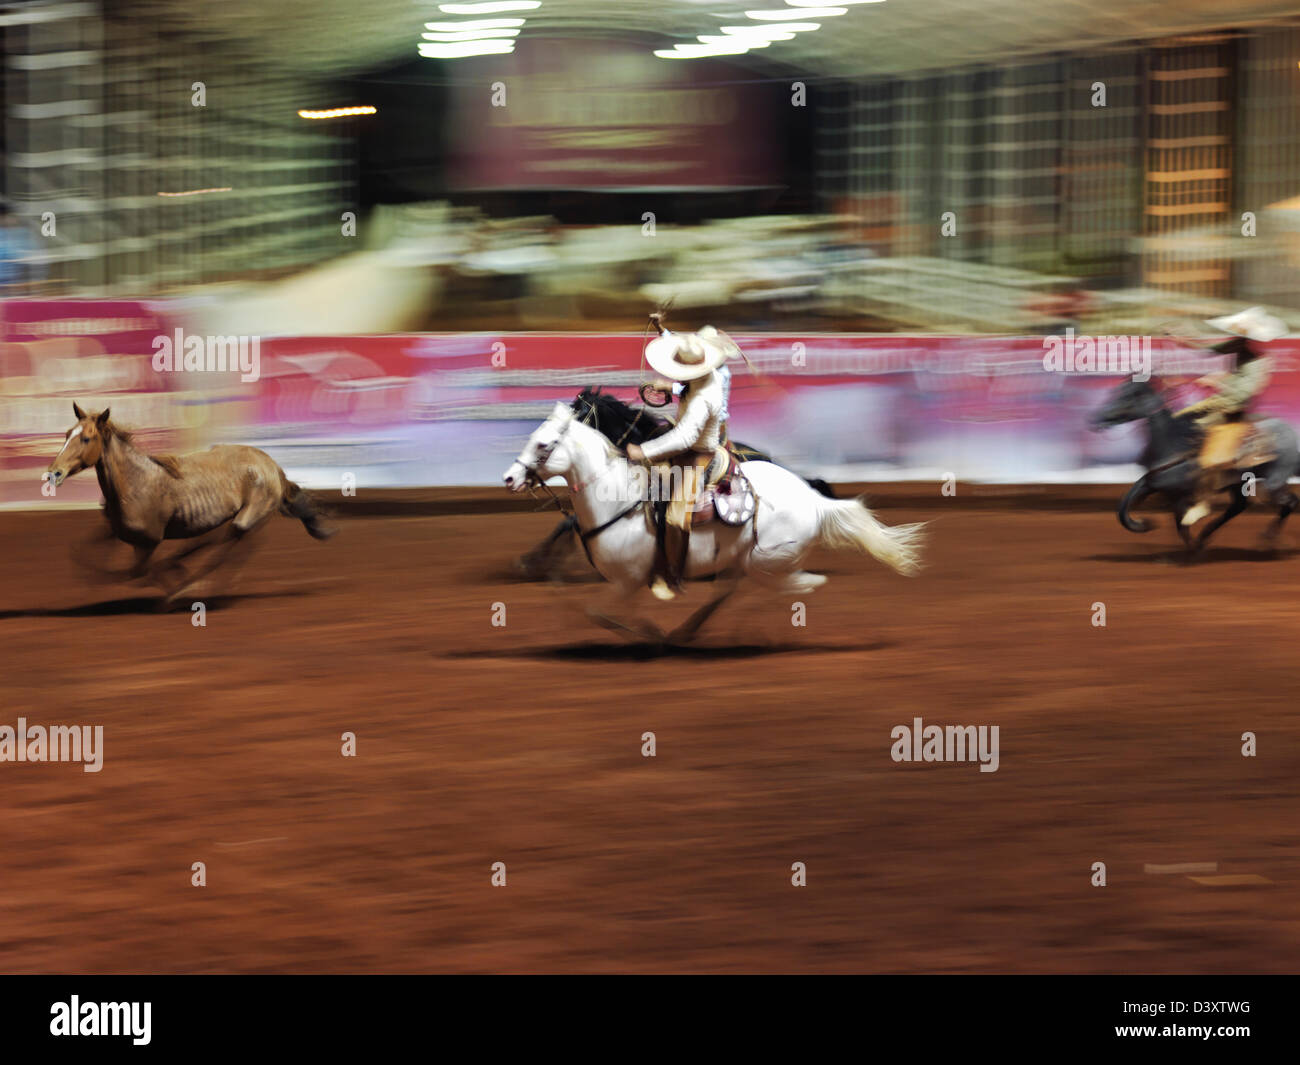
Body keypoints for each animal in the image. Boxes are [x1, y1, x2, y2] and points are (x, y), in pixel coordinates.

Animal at [47, 403, 335, 603]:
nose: (54, 473)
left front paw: (178, 587)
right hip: (235, 518)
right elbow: (81, 555)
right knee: (218, 540)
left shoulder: (148, 542)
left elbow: (138, 573)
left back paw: (196, 587)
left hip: (248, 517)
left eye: (86, 438)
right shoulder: (114, 531)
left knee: (228, 547)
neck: (135, 481)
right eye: (67, 434)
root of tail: (273, 466)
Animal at [1086, 377, 1300, 559]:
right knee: (1239, 507)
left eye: (1125, 396)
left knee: (1289, 502)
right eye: (1115, 392)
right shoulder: (1154, 483)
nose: (1097, 419)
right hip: (1239, 483)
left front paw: (1192, 549)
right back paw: (1207, 536)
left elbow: (1180, 522)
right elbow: (1125, 506)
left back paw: (1267, 541)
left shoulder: (1184, 493)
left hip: (1274, 480)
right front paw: (1145, 525)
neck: (1174, 443)